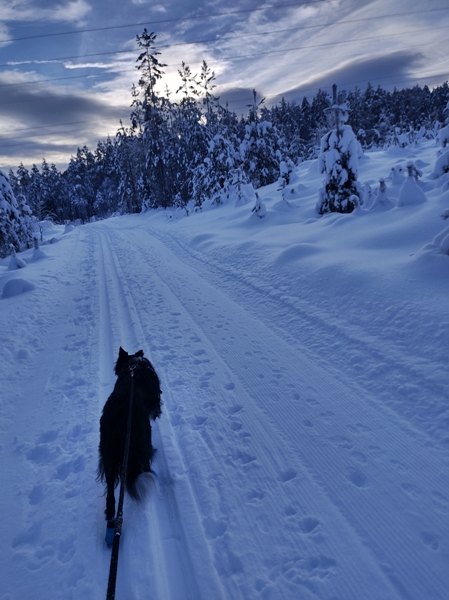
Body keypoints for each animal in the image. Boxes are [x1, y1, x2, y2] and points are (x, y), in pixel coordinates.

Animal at [97, 350, 162, 524]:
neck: (134, 365)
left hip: (108, 455)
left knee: (110, 491)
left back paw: (110, 516)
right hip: (143, 438)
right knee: (145, 463)